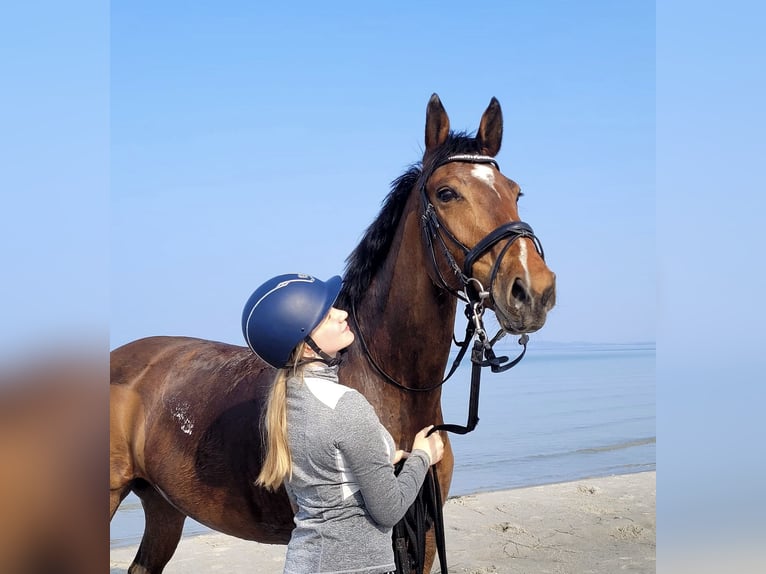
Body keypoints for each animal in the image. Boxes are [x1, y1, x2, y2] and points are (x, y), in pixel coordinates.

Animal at [110, 93, 556, 574]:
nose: (534, 290)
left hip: (163, 506)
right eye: (446, 193)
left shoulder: (423, 535)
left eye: (515, 192)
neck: (390, 389)